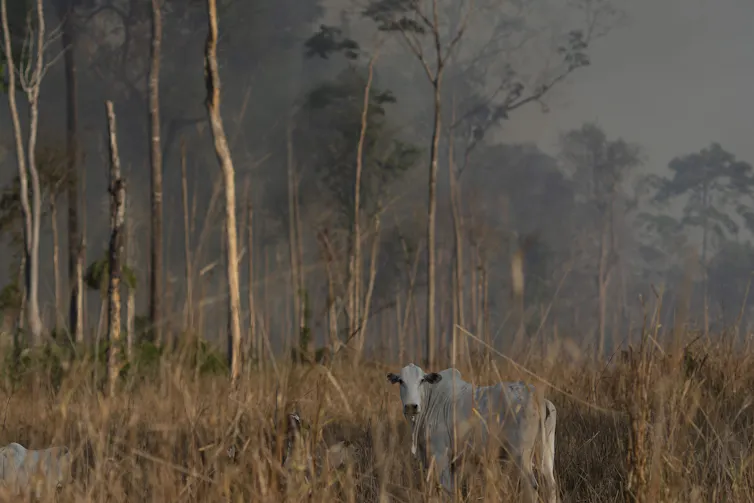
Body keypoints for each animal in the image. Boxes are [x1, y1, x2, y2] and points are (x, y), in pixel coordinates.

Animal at [386, 364, 557, 503]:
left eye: (422, 380)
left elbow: (446, 491)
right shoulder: (454, 462)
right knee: (551, 486)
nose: (411, 406)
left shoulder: (440, 456)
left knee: (532, 487)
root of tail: (536, 396)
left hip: (521, 454)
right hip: (546, 452)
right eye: (401, 381)